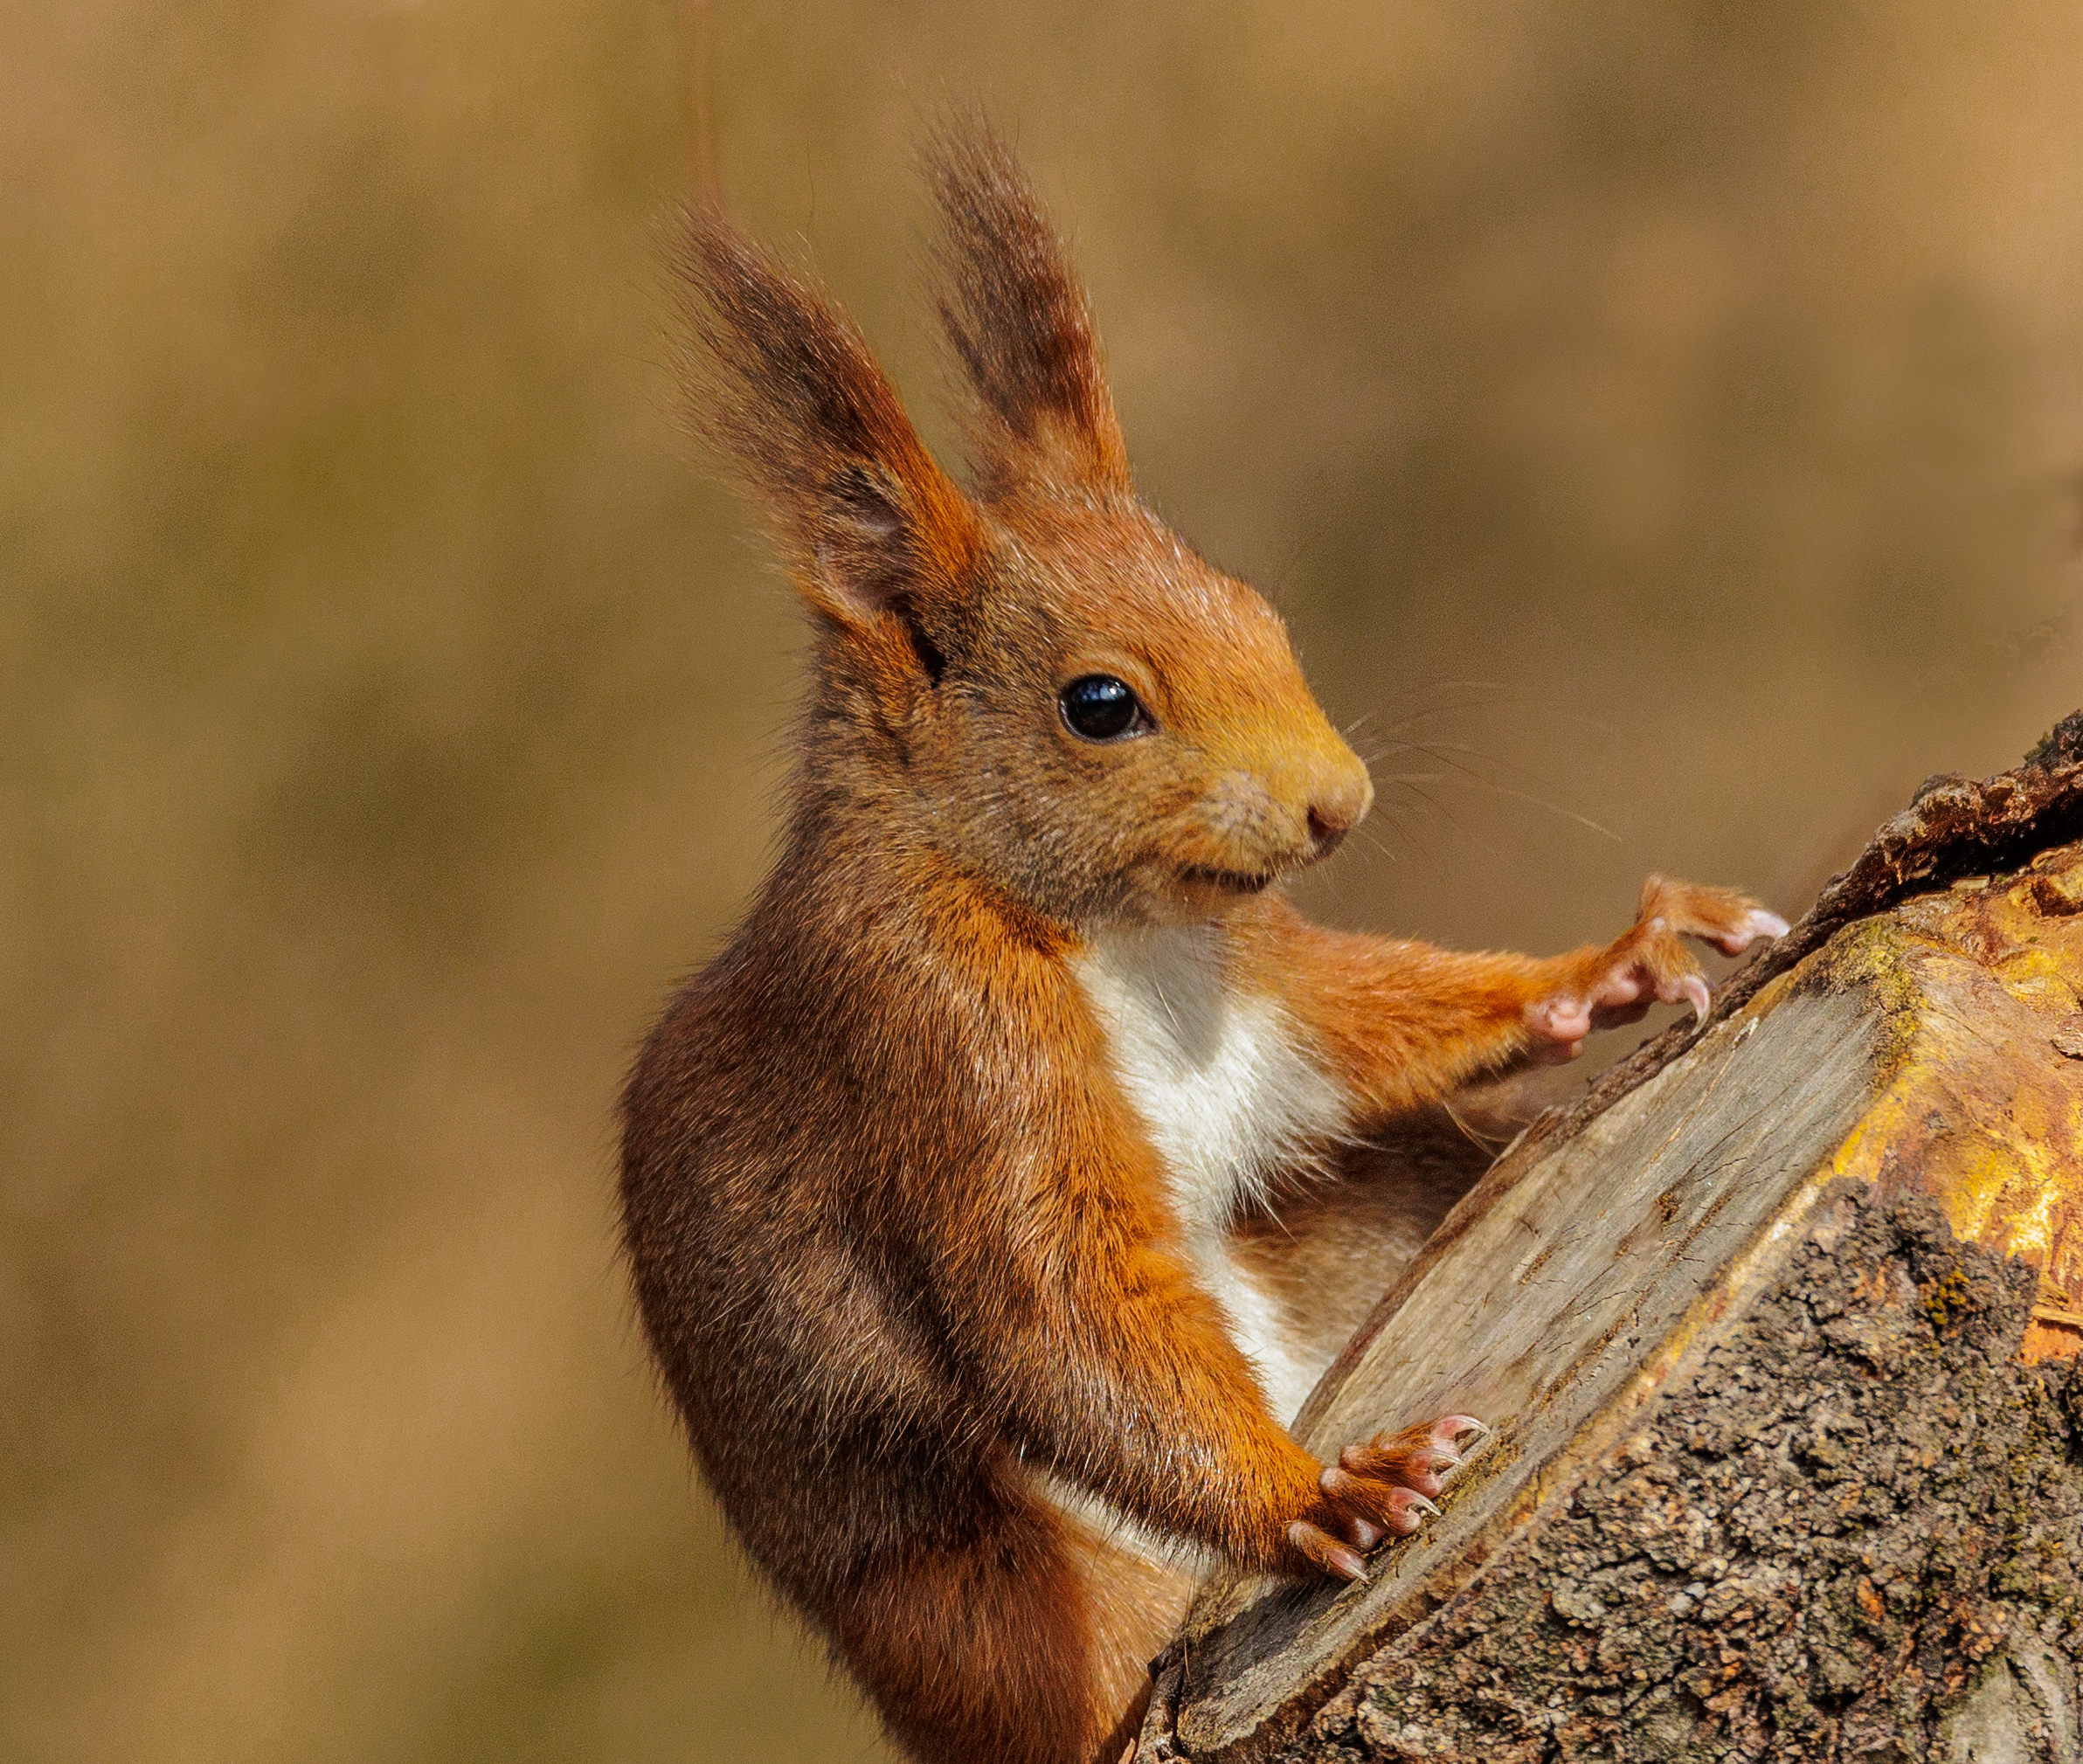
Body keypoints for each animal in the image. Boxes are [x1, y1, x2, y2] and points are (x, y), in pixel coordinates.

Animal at [618, 121, 1787, 1764]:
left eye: (1259, 607)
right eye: (1098, 703)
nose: (1336, 802)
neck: (1127, 936)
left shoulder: (1263, 995)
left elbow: (1360, 1018)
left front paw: (1604, 964)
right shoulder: (933, 1041)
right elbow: (1065, 1310)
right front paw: (1322, 1493)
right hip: (1003, 1605)